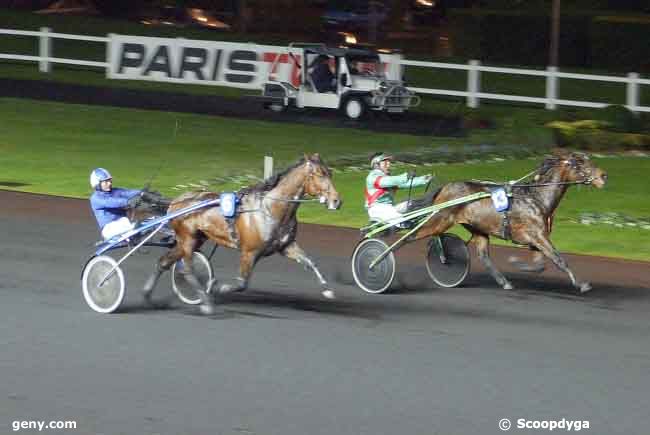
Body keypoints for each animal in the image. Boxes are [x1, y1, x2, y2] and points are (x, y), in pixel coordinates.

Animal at [140, 155, 340, 316]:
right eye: (319, 174)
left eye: (330, 173)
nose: (337, 201)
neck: (269, 209)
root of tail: (176, 201)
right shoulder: (249, 252)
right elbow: (242, 283)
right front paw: (219, 288)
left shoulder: (286, 246)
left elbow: (310, 262)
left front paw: (327, 290)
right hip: (187, 238)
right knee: (187, 269)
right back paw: (205, 303)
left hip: (195, 239)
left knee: (164, 262)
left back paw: (148, 295)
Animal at [408, 152, 604, 294]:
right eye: (580, 162)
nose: (604, 175)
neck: (537, 197)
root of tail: (445, 187)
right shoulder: (538, 236)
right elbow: (558, 259)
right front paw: (581, 284)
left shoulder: (536, 238)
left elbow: (540, 265)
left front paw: (518, 264)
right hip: (440, 220)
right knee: (413, 236)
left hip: (478, 228)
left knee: (483, 256)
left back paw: (504, 282)